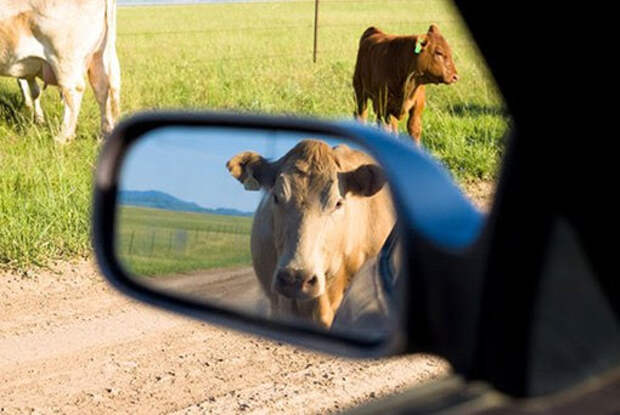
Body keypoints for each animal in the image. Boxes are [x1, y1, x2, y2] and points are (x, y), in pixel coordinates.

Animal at [0, 0, 121, 144]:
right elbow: (32, 90)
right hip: (99, 55)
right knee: (102, 89)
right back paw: (104, 133)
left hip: (64, 57)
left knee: (74, 91)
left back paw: (62, 137)